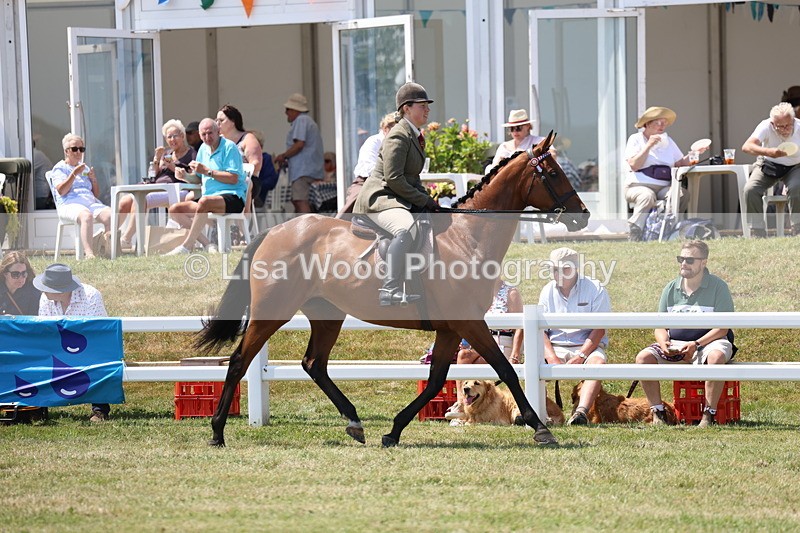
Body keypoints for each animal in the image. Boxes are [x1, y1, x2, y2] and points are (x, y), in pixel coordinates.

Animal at [196, 132, 589, 447]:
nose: (582, 215)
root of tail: (274, 231)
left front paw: (394, 430)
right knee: (239, 361)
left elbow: (436, 380)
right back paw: (216, 432)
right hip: (271, 311)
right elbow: (505, 369)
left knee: (314, 364)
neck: (468, 236)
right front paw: (541, 428)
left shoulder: (451, 328)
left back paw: (355, 422)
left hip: (327, 314)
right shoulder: (469, 323)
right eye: (554, 173)